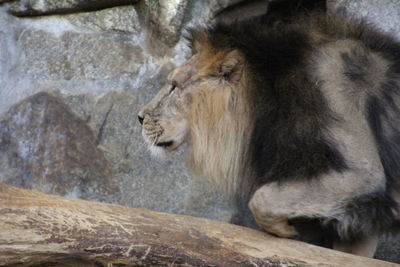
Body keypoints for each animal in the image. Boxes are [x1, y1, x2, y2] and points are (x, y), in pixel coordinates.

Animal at [138, 12, 400, 258]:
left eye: (173, 86)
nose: (140, 117)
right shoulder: (360, 221)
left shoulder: (363, 172)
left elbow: (261, 198)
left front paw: (286, 231)